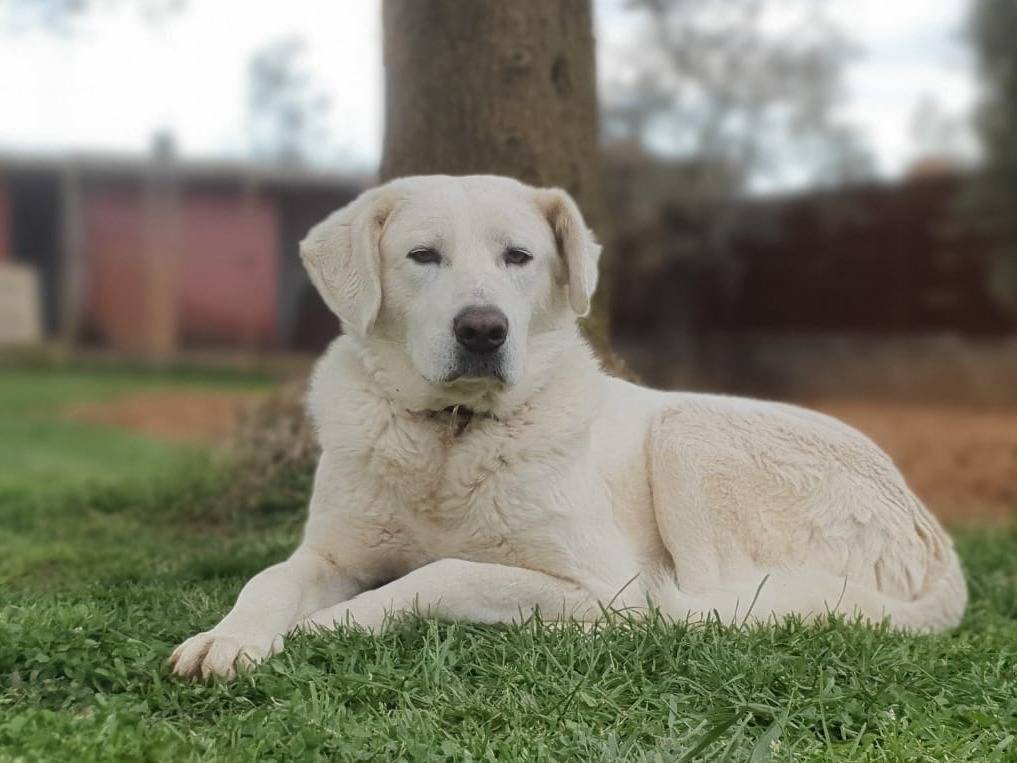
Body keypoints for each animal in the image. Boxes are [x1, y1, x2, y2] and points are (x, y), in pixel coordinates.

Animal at [170, 174, 964, 679]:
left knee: (706, 609)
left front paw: (329, 624)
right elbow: (268, 579)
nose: (483, 329)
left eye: (518, 256)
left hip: (685, 434)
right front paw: (227, 638)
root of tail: (934, 534)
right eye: (422, 255)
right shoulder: (329, 553)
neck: (452, 439)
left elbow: (445, 572)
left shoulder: (603, 581)